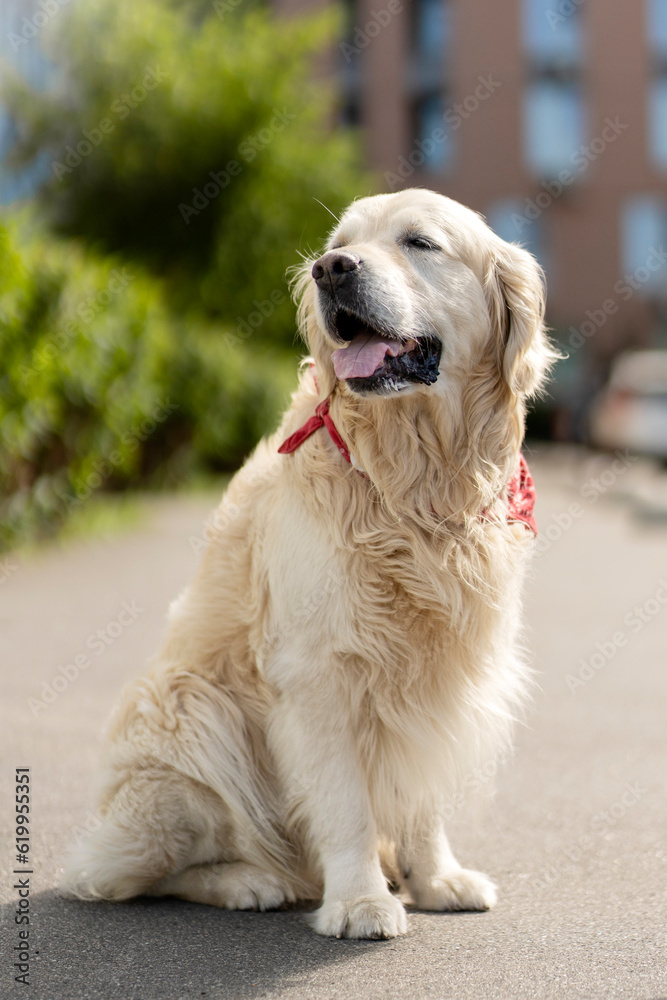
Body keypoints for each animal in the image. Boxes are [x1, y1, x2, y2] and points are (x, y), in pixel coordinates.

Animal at [62, 188, 556, 936]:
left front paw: (435, 878)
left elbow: (420, 796)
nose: (330, 270)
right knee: (123, 875)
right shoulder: (319, 671)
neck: (413, 481)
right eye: (337, 245)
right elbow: (346, 804)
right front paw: (358, 901)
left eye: (419, 242)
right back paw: (251, 880)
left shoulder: (437, 673)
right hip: (190, 709)